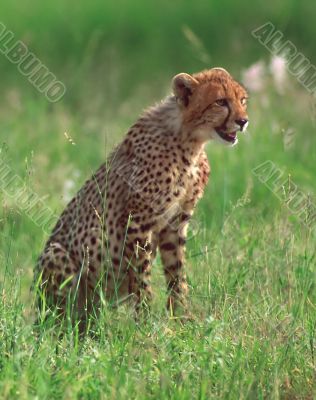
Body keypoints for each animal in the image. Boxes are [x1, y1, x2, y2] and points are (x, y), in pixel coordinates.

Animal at [35, 68, 249, 318]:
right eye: (220, 102)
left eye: (242, 100)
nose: (243, 121)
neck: (189, 141)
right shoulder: (138, 222)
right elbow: (142, 277)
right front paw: (147, 320)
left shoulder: (175, 222)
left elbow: (177, 273)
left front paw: (182, 318)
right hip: (56, 256)